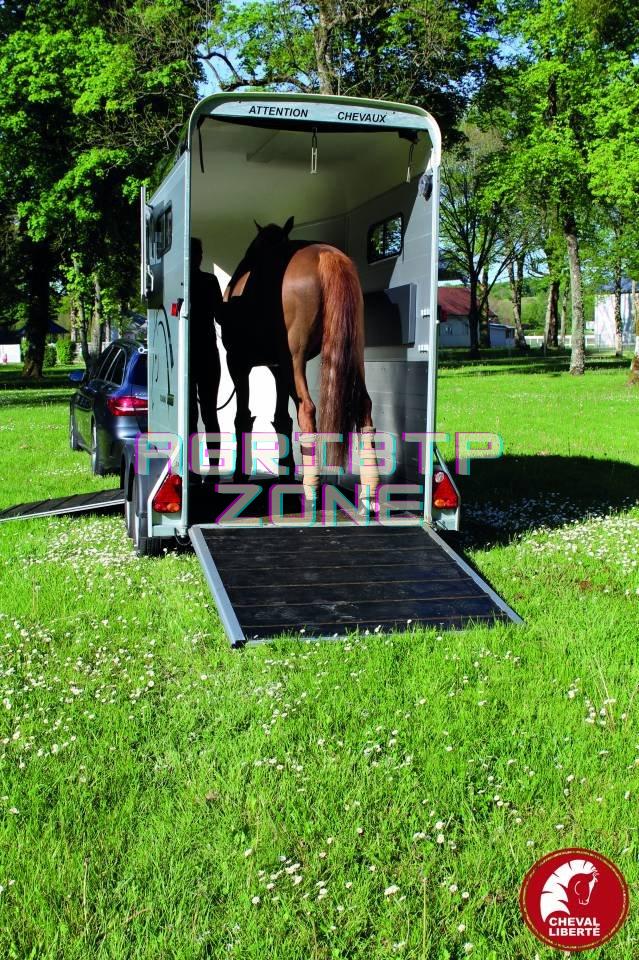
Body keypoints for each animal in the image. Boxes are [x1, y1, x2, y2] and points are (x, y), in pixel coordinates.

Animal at [220, 217, 379, 507]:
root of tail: (326, 254)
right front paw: (285, 472)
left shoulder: (238, 363)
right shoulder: (277, 369)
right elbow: (281, 418)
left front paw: (240, 476)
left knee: (307, 408)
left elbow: (243, 417)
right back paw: (369, 491)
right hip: (353, 354)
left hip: (294, 360)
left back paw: (311, 490)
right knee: (364, 405)